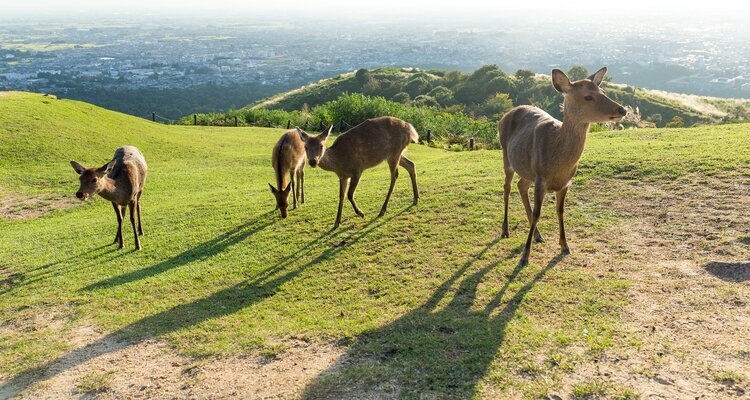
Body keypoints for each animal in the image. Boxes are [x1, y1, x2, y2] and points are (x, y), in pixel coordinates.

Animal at [499, 67, 626, 266]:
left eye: (603, 91)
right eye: (588, 96)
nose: (623, 109)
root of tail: (506, 113)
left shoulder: (566, 183)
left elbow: (560, 211)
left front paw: (565, 246)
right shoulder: (541, 178)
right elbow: (538, 213)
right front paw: (524, 257)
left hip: (527, 170)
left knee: (521, 185)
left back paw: (537, 235)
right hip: (506, 154)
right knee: (507, 187)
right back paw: (505, 231)